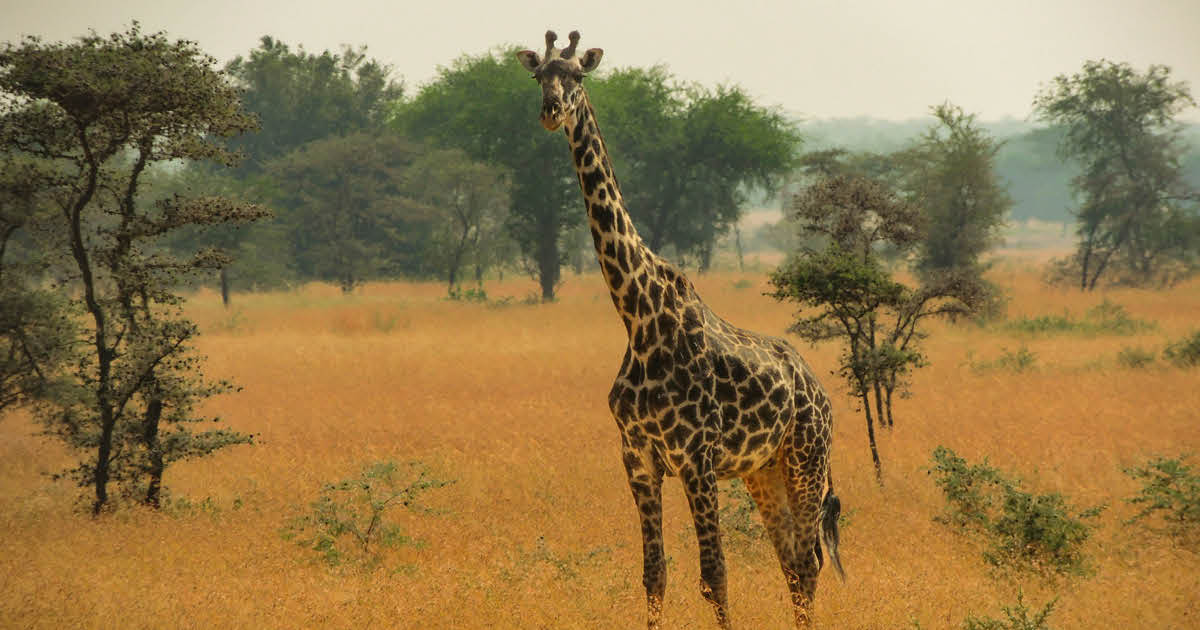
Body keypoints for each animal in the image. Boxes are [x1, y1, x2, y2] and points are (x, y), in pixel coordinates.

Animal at [517, 30, 844, 629]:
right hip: (763, 471)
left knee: (809, 563)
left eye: (577, 76)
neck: (639, 317)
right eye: (538, 76)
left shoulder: (697, 457)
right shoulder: (638, 458)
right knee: (791, 560)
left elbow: (714, 576)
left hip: (806, 458)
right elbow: (655, 575)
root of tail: (820, 391)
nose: (551, 111)